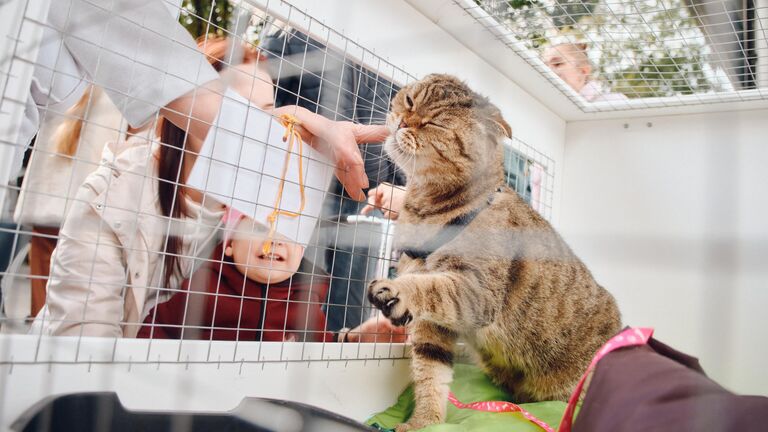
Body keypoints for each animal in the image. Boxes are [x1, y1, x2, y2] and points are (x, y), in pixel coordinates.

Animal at [368, 72, 620, 430]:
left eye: (435, 124)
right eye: (410, 101)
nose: (403, 121)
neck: (425, 209)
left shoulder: (476, 292)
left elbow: (430, 288)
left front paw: (396, 290)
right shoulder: (433, 327)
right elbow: (431, 373)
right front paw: (424, 421)